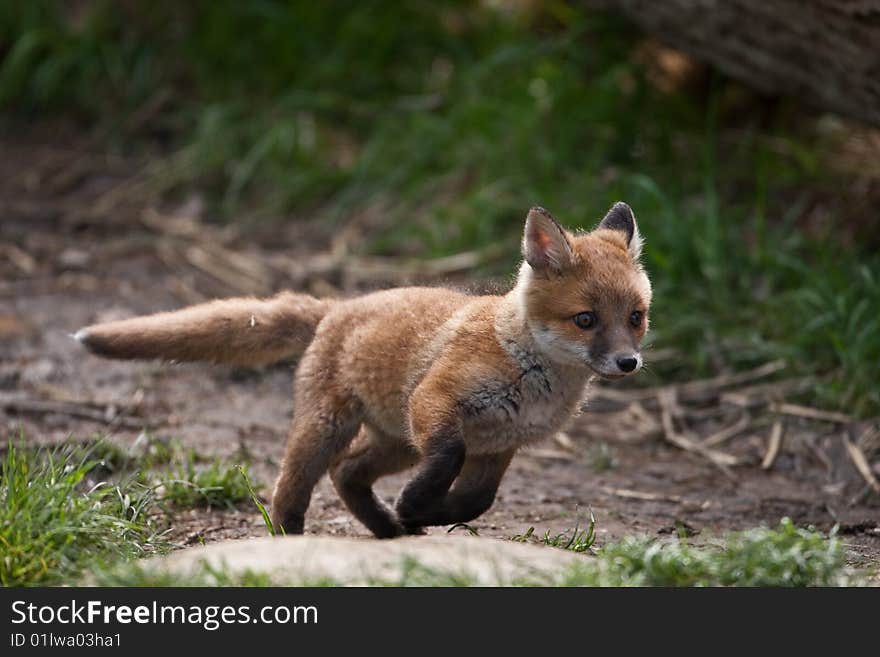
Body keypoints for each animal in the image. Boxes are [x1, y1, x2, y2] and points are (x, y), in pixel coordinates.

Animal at [77, 202, 652, 536]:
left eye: (636, 317)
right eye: (585, 320)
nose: (629, 362)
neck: (530, 373)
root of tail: (338, 306)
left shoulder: (499, 444)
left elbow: (476, 502)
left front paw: (421, 513)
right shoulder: (437, 403)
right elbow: (448, 460)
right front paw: (416, 503)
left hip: (397, 442)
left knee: (347, 472)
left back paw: (389, 529)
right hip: (333, 428)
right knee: (291, 485)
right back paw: (291, 537)